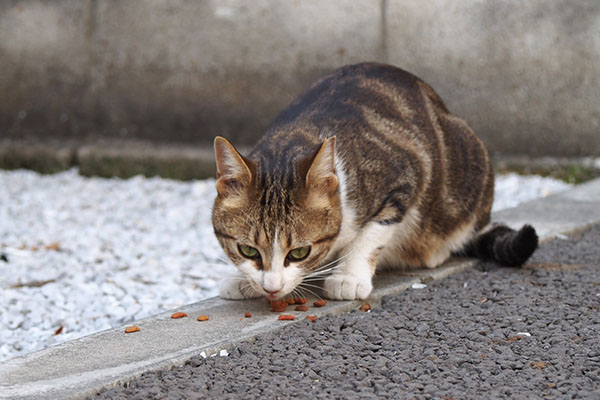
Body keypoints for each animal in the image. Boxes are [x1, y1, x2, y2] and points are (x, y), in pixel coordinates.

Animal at [212, 62, 540, 300]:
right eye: (248, 251)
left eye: (299, 253)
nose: (271, 287)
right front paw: (243, 280)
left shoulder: (406, 176)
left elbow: (372, 234)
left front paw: (348, 277)